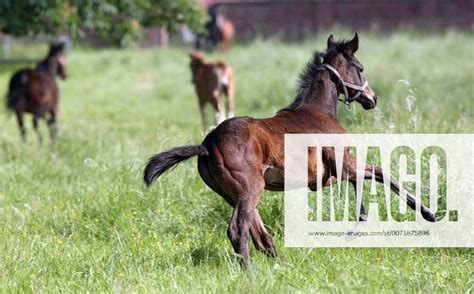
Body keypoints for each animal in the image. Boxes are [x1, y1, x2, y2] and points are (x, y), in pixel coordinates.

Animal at [145, 35, 436, 268]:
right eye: (360, 68)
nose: (372, 98)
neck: (319, 110)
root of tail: (207, 145)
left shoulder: (325, 178)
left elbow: (367, 178)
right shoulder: (343, 164)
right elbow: (380, 172)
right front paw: (425, 212)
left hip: (233, 194)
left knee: (261, 237)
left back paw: (283, 266)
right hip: (250, 189)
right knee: (239, 232)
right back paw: (251, 274)